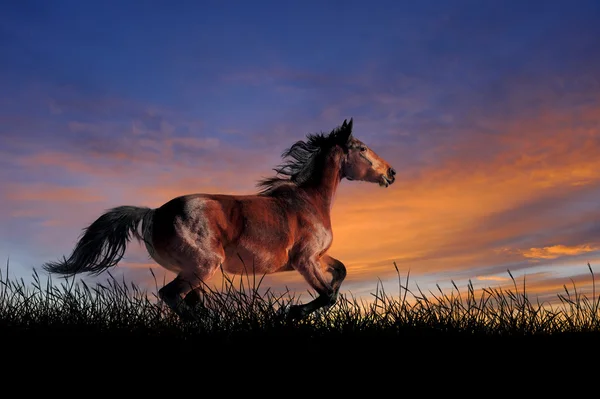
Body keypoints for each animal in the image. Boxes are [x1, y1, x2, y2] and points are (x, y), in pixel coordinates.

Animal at [43, 117, 398, 320]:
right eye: (362, 148)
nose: (391, 173)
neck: (309, 200)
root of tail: (154, 213)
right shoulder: (305, 259)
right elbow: (328, 294)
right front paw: (291, 314)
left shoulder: (318, 258)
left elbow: (341, 273)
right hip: (203, 266)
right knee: (172, 297)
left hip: (192, 271)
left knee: (187, 303)